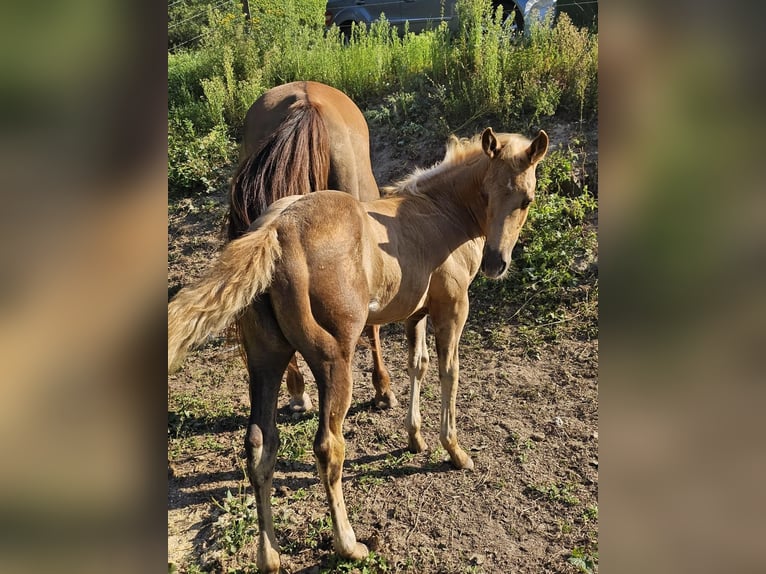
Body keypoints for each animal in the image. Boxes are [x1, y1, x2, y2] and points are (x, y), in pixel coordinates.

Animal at [170, 127, 548, 572]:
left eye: (525, 199)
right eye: (488, 194)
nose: (494, 263)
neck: (441, 212)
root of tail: (276, 231)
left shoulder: (415, 311)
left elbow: (417, 364)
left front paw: (415, 438)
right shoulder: (453, 307)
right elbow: (449, 372)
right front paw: (454, 450)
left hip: (265, 360)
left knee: (260, 445)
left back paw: (270, 556)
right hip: (334, 359)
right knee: (328, 447)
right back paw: (349, 544)